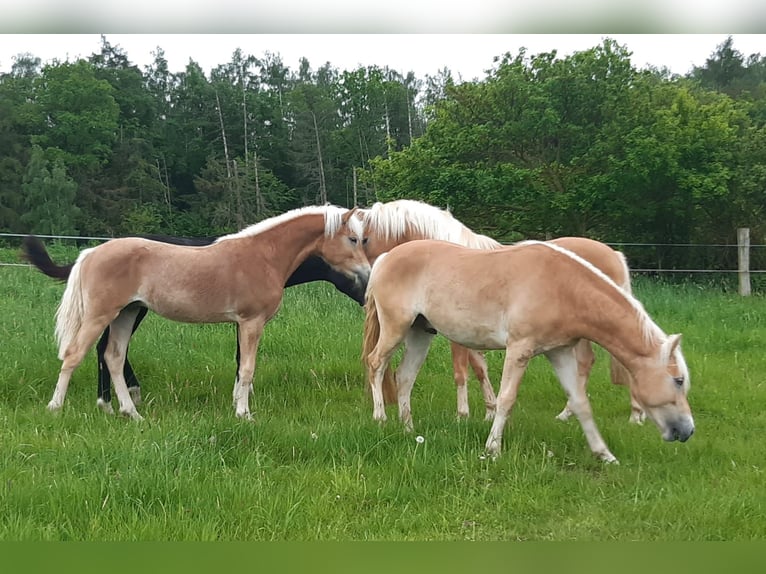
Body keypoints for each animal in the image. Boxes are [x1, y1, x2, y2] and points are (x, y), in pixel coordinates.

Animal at [31, 206, 374, 418]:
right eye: (354, 239)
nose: (368, 274)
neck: (263, 255)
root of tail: (91, 252)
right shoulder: (251, 322)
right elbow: (247, 369)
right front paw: (244, 414)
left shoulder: (242, 324)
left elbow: (241, 367)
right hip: (102, 315)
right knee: (74, 355)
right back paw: (55, 408)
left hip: (127, 314)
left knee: (113, 357)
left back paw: (132, 413)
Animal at [360, 200, 640, 426]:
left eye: (363, 238)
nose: (366, 278)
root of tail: (614, 254)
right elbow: (479, 368)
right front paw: (488, 412)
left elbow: (462, 371)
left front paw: (466, 414)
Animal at [362, 238, 696, 464]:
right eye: (678, 380)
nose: (687, 431)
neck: (562, 286)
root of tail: (386, 257)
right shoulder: (519, 350)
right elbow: (506, 399)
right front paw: (492, 449)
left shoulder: (559, 352)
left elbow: (581, 403)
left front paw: (604, 454)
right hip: (396, 328)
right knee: (376, 364)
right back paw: (380, 418)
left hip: (420, 333)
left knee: (404, 377)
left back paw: (408, 428)